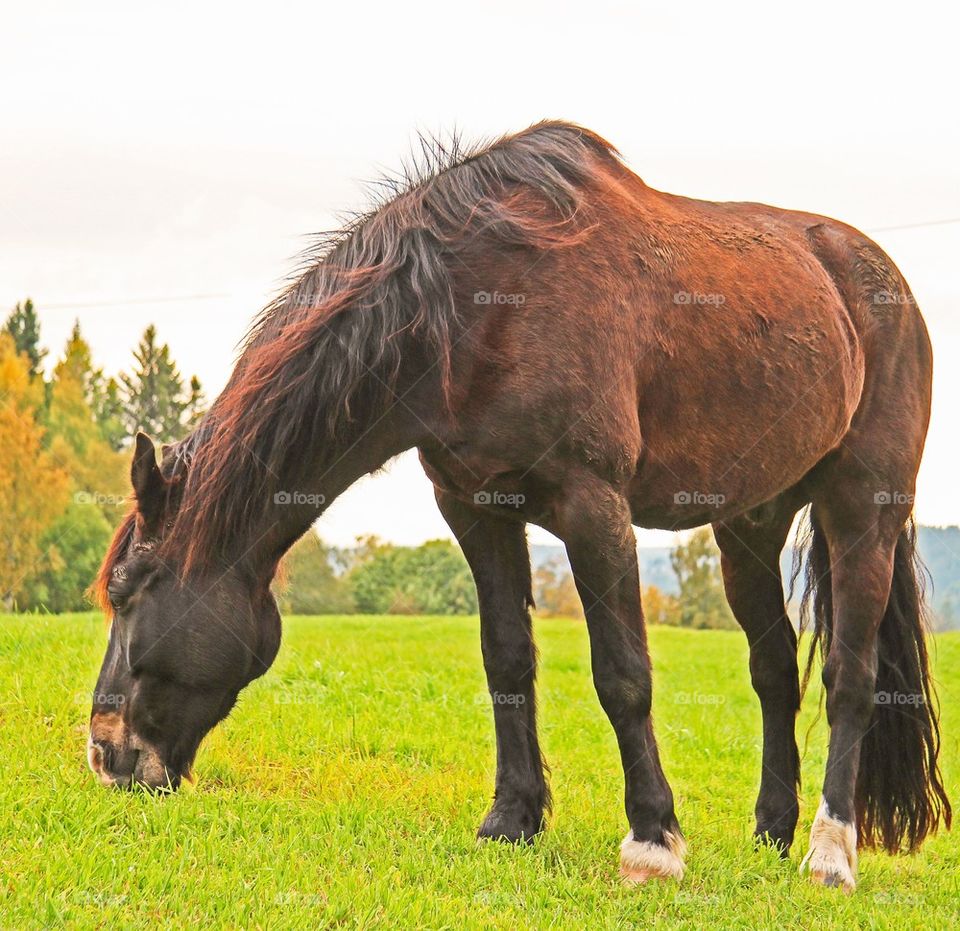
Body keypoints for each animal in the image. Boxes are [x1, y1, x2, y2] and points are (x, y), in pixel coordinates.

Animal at [86, 120, 948, 892]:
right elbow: (507, 661)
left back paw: (830, 853)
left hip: (860, 513)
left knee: (849, 675)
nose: (104, 751)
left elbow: (622, 674)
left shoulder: (593, 507)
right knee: (774, 675)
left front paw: (653, 842)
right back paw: (771, 831)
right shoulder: (475, 509)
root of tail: (884, 282)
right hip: (747, 526)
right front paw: (512, 819)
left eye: (128, 594)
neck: (474, 311)